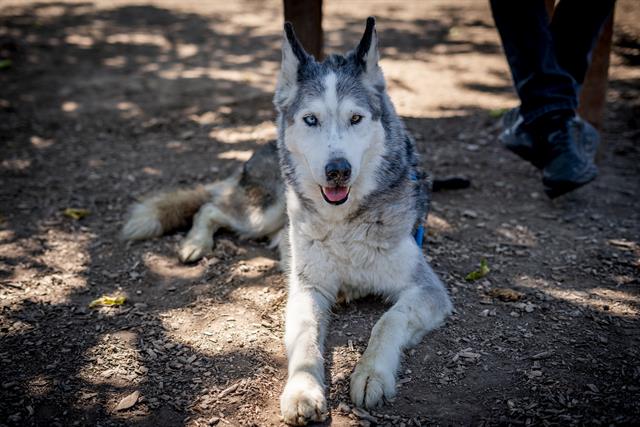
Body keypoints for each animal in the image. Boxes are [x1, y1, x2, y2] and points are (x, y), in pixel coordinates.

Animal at [122, 17, 452, 427]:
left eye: (355, 118)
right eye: (311, 120)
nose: (338, 170)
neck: (344, 224)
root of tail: (261, 148)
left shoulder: (428, 291)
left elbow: (387, 322)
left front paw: (371, 374)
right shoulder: (306, 290)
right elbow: (307, 341)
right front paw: (302, 391)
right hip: (264, 212)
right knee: (211, 207)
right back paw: (196, 243)